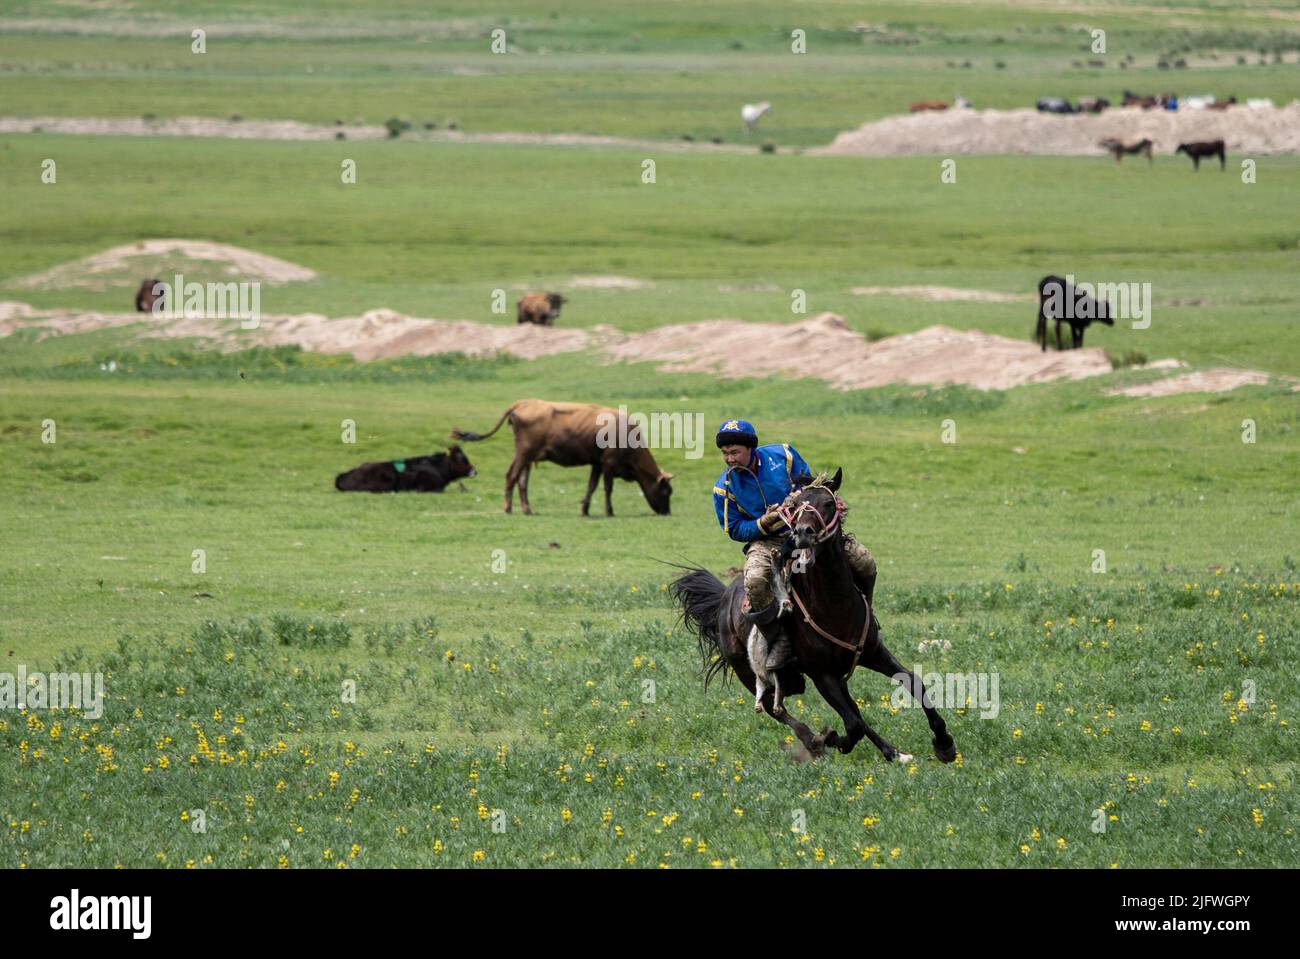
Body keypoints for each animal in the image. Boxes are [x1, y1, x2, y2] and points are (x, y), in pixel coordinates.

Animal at [449, 395, 670, 514]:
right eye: (667, 491)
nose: (666, 512)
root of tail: (522, 403)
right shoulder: (609, 463)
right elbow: (608, 489)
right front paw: (609, 511)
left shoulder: (597, 464)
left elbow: (591, 487)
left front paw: (585, 510)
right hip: (523, 453)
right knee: (511, 476)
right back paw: (508, 508)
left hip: (527, 457)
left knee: (522, 481)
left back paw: (527, 510)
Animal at [670, 467, 956, 764]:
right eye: (795, 505)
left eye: (829, 503)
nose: (802, 532)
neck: (835, 605)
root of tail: (724, 600)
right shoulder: (821, 675)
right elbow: (852, 725)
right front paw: (831, 739)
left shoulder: (872, 653)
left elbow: (913, 683)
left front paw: (944, 744)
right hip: (748, 672)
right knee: (776, 709)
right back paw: (814, 741)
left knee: (852, 711)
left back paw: (893, 752)